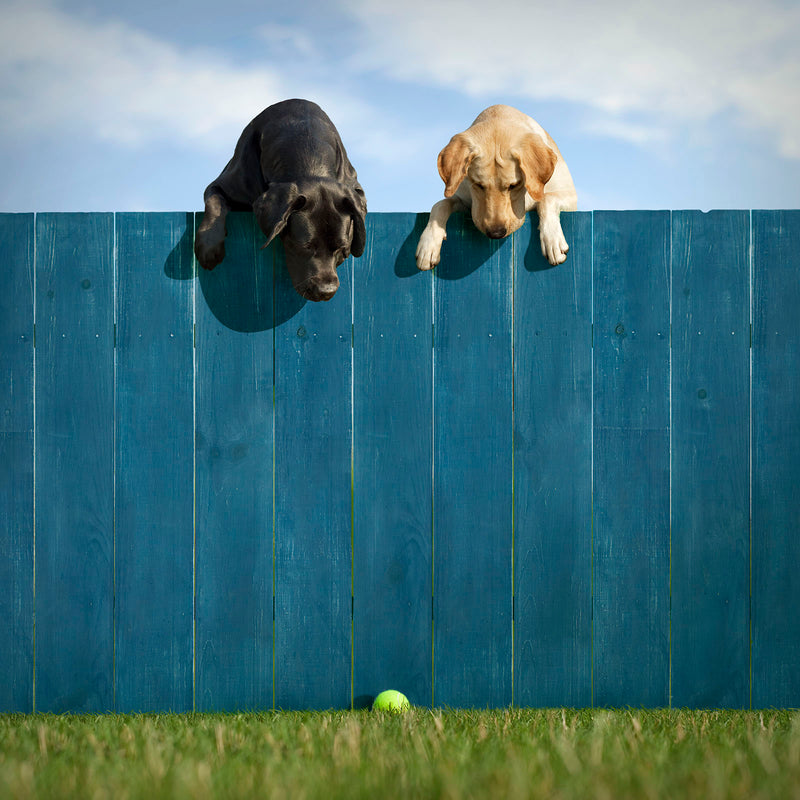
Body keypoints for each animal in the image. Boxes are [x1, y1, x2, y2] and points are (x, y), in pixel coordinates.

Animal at [195, 98, 368, 302]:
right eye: (305, 246)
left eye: (340, 247)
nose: (326, 291)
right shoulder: (223, 183)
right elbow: (215, 202)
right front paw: (209, 244)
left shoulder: (355, 189)